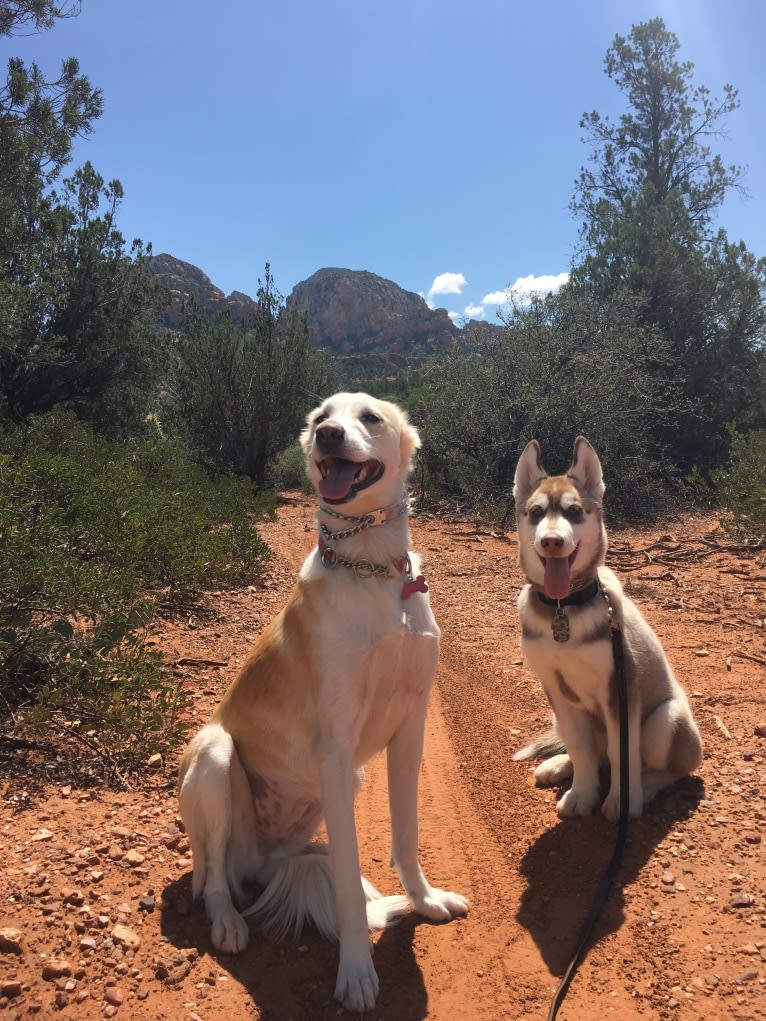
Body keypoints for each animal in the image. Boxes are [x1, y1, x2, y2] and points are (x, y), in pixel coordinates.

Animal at [178, 390, 467, 1012]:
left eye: (370, 418)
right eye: (319, 419)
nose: (329, 436)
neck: (376, 573)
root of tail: (260, 861)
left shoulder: (411, 725)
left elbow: (406, 835)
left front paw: (424, 900)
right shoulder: (335, 747)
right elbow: (351, 896)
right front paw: (356, 974)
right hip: (214, 755)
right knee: (211, 876)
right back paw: (227, 922)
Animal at [512, 434, 706, 816]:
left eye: (574, 512)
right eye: (537, 513)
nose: (552, 541)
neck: (564, 607)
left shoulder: (620, 689)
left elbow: (622, 754)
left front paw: (622, 800)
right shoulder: (556, 690)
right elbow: (581, 750)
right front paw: (582, 794)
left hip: (666, 720)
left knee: (666, 769)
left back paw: (646, 787)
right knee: (592, 753)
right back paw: (557, 765)